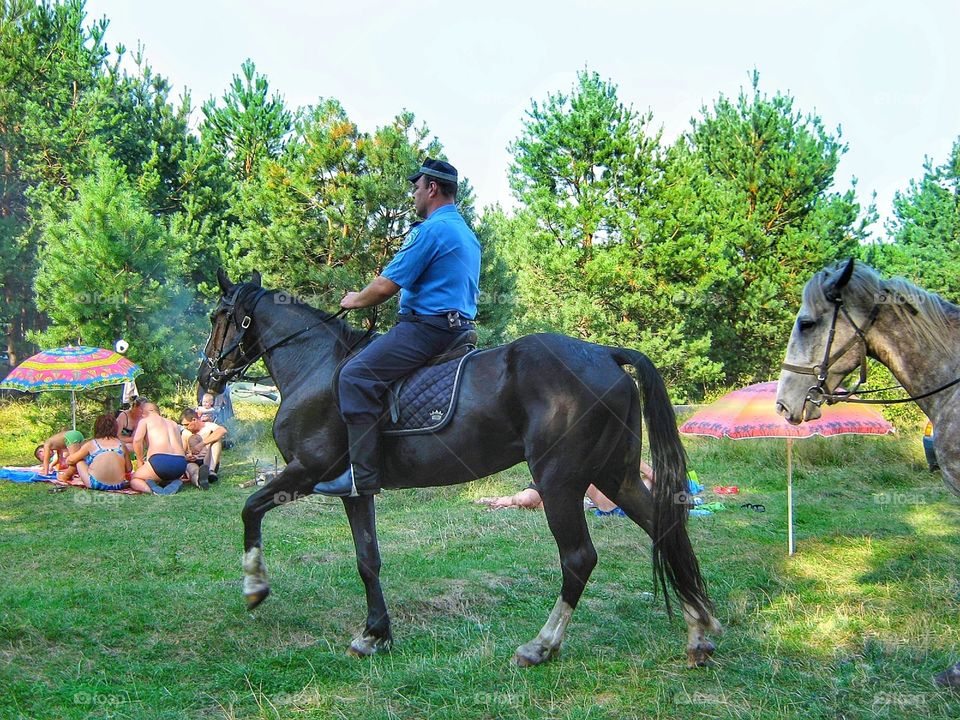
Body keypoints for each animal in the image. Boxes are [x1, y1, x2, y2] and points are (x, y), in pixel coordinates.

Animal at [199, 269, 721, 668]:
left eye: (217, 316)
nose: (206, 379)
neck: (316, 366)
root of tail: (605, 353)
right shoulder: (355, 490)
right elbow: (368, 560)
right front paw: (375, 633)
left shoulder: (305, 471)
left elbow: (250, 509)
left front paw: (255, 587)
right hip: (617, 477)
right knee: (666, 529)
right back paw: (700, 631)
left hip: (559, 482)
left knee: (579, 559)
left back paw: (541, 645)